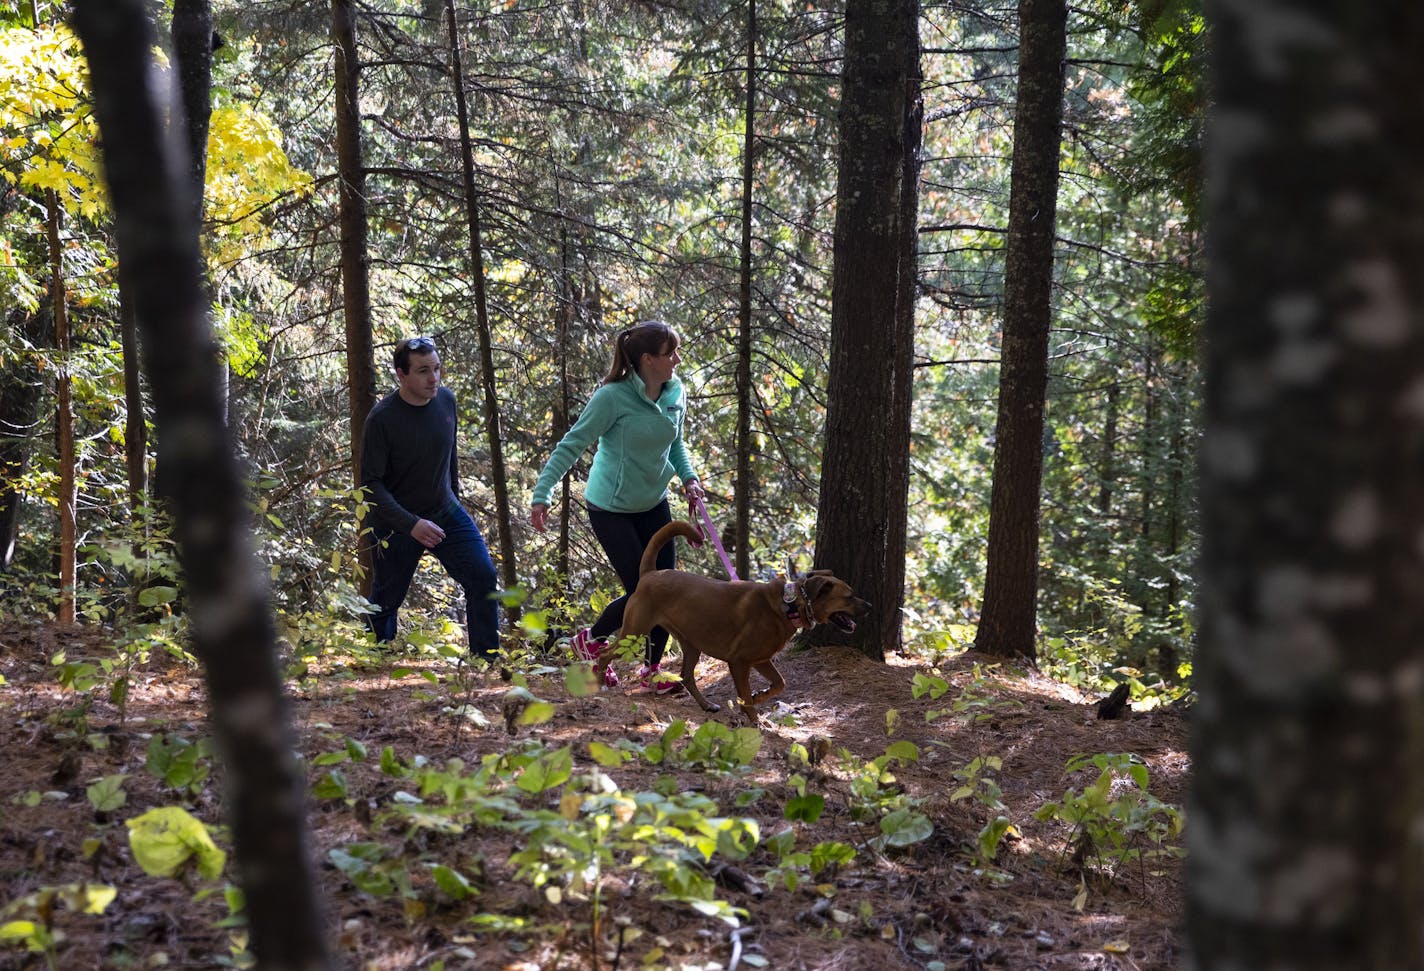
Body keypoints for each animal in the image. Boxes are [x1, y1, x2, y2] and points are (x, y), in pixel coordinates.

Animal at [620, 521, 865, 717]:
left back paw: (707, 705)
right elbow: (746, 699)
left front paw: (760, 696)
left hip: (691, 645)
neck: (789, 605)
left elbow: (779, 683)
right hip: (633, 631)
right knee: (611, 653)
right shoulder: (739, 662)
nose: (869, 607)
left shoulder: (760, 660)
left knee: (687, 676)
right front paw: (754, 723)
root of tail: (651, 573)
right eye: (849, 596)